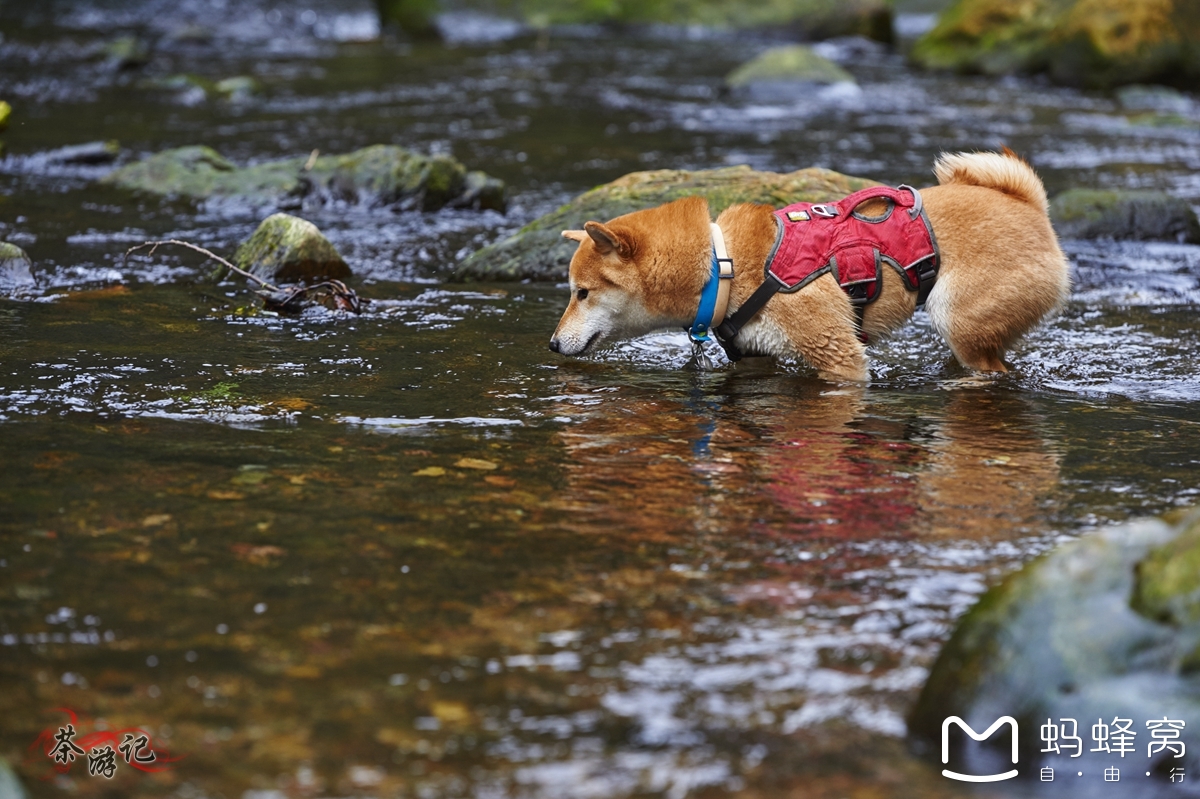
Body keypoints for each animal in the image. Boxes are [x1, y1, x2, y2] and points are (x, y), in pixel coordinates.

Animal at [549, 152, 1070, 383]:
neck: (725, 267)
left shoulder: (837, 354)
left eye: (582, 292)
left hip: (957, 319)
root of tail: (1028, 206)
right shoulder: (756, 356)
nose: (552, 344)